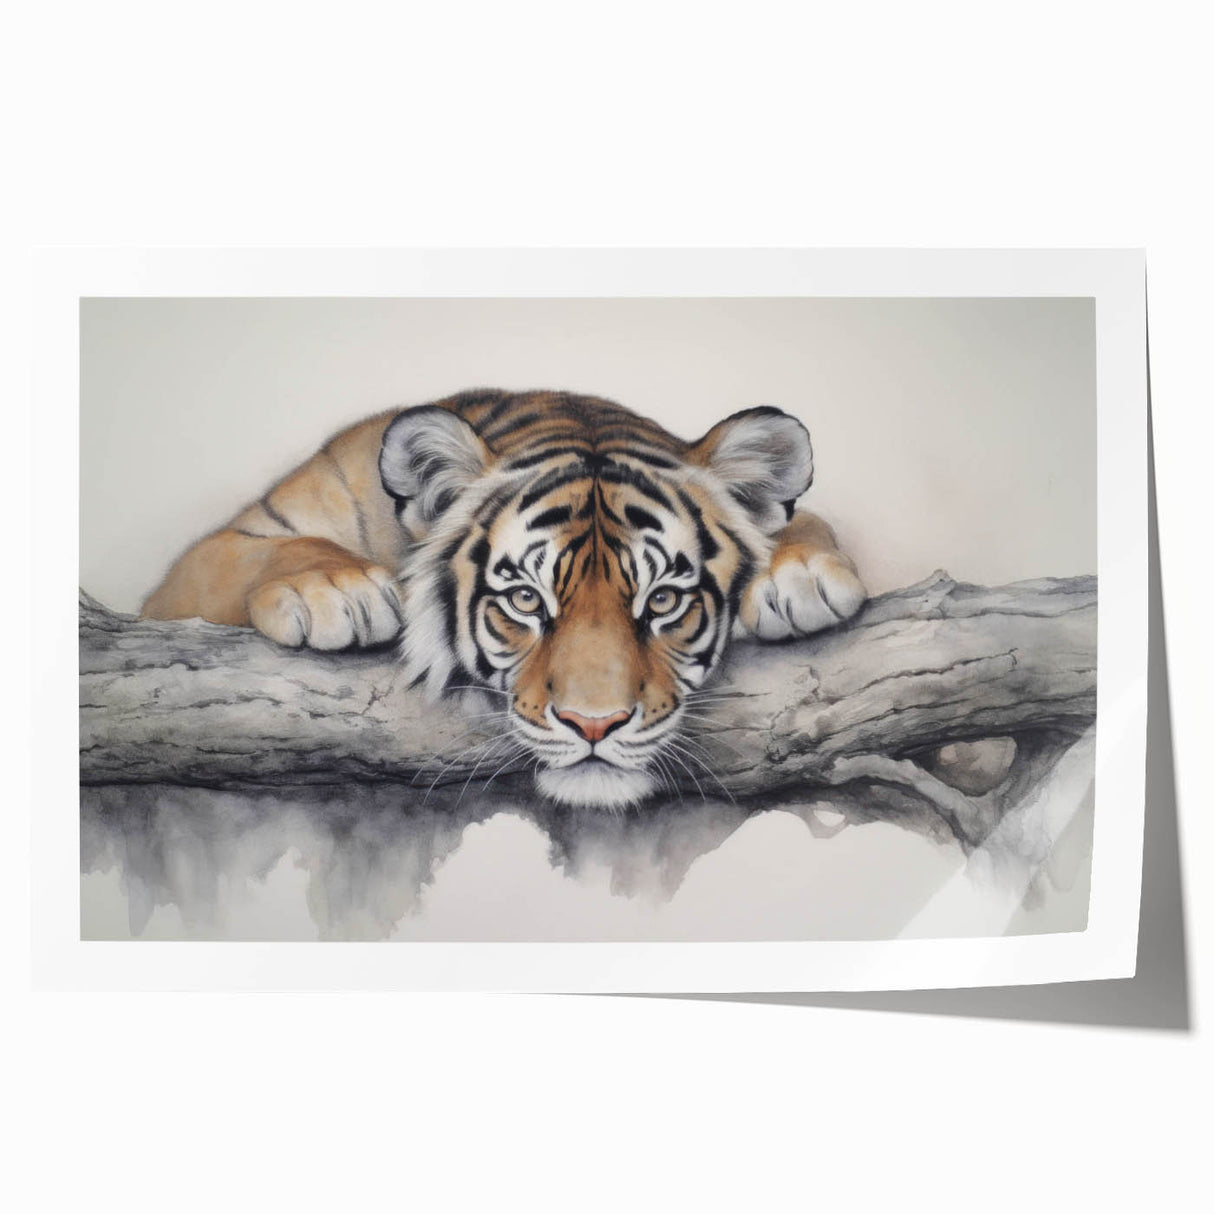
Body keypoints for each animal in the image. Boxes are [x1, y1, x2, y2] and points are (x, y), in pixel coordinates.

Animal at [143, 389, 867, 809]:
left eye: (663, 601)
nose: (595, 726)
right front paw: (337, 589)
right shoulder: (196, 567)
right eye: (524, 598)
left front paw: (803, 573)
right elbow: (264, 552)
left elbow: (801, 524)